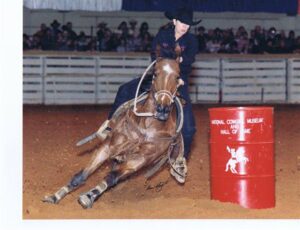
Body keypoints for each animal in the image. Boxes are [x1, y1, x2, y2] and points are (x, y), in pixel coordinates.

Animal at [42, 44, 185, 208]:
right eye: (155, 74)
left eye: (178, 76)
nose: (162, 109)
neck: (146, 129)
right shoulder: (108, 147)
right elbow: (81, 175)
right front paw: (55, 196)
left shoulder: (139, 160)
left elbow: (111, 178)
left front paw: (89, 196)